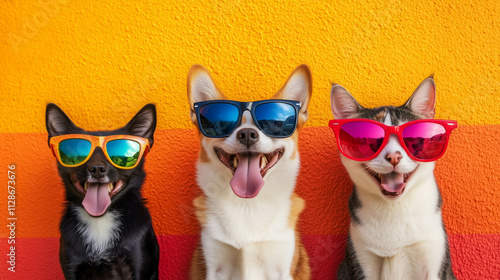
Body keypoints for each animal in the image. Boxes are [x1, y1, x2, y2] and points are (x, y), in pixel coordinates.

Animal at [330, 77, 456, 280]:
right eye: (371, 140)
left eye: (412, 139)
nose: (394, 156)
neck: (394, 207)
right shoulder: (361, 257)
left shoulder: (432, 255)